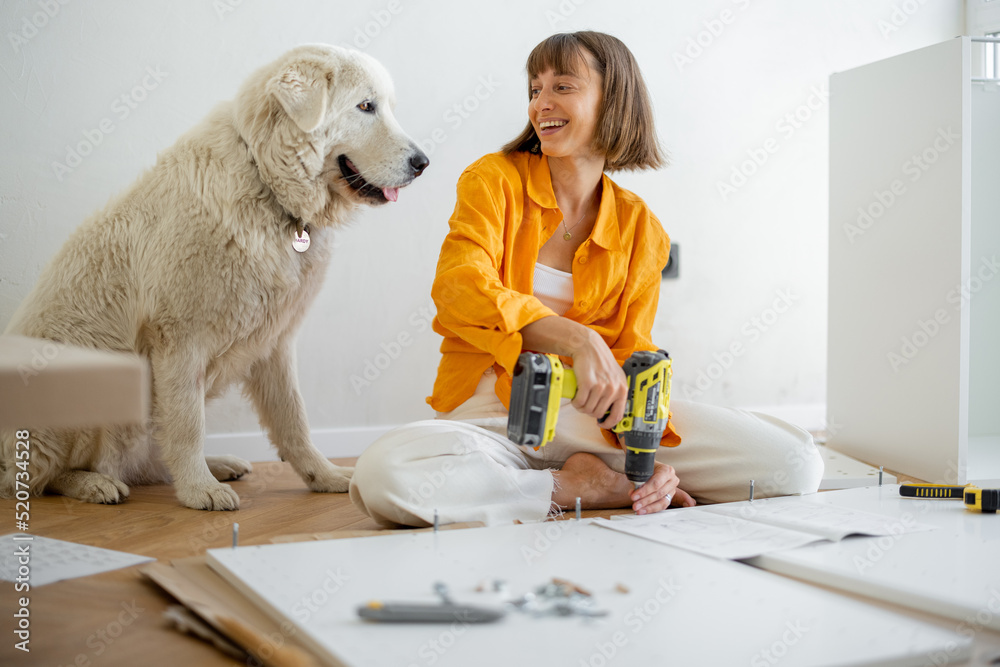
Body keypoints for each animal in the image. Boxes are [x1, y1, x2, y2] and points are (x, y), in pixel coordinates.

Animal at [0, 44, 426, 508]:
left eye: (387, 107)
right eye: (366, 107)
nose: (423, 162)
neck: (265, 182)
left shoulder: (276, 342)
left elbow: (294, 420)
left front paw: (324, 475)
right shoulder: (179, 341)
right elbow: (188, 425)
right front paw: (198, 491)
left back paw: (219, 463)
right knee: (37, 477)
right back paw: (93, 484)